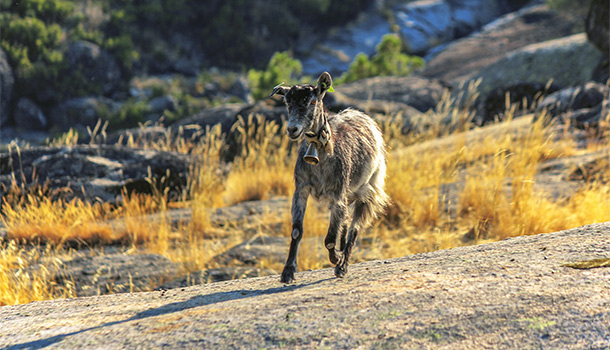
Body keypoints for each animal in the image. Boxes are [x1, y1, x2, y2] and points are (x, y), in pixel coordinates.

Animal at [268, 72, 388, 284]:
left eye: (312, 101)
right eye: (287, 101)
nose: (292, 129)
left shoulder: (337, 194)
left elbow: (330, 238)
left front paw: (337, 258)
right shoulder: (301, 190)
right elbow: (297, 231)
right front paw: (288, 272)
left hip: (369, 189)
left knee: (354, 228)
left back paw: (342, 266)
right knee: (346, 223)